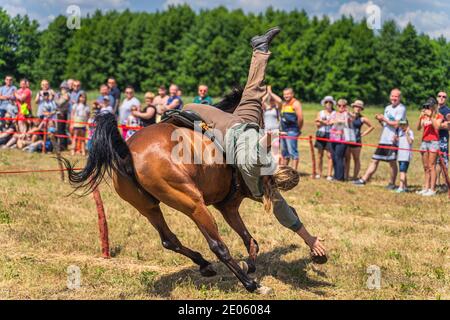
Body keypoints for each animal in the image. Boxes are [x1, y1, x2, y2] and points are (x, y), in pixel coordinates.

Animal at [63, 89, 272, 292]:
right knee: (217, 246)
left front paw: (251, 262)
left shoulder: (227, 207)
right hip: (194, 205)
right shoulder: (230, 204)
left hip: (149, 208)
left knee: (169, 240)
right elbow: (247, 237)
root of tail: (126, 153)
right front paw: (250, 266)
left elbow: (248, 238)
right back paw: (250, 284)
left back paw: (204, 264)